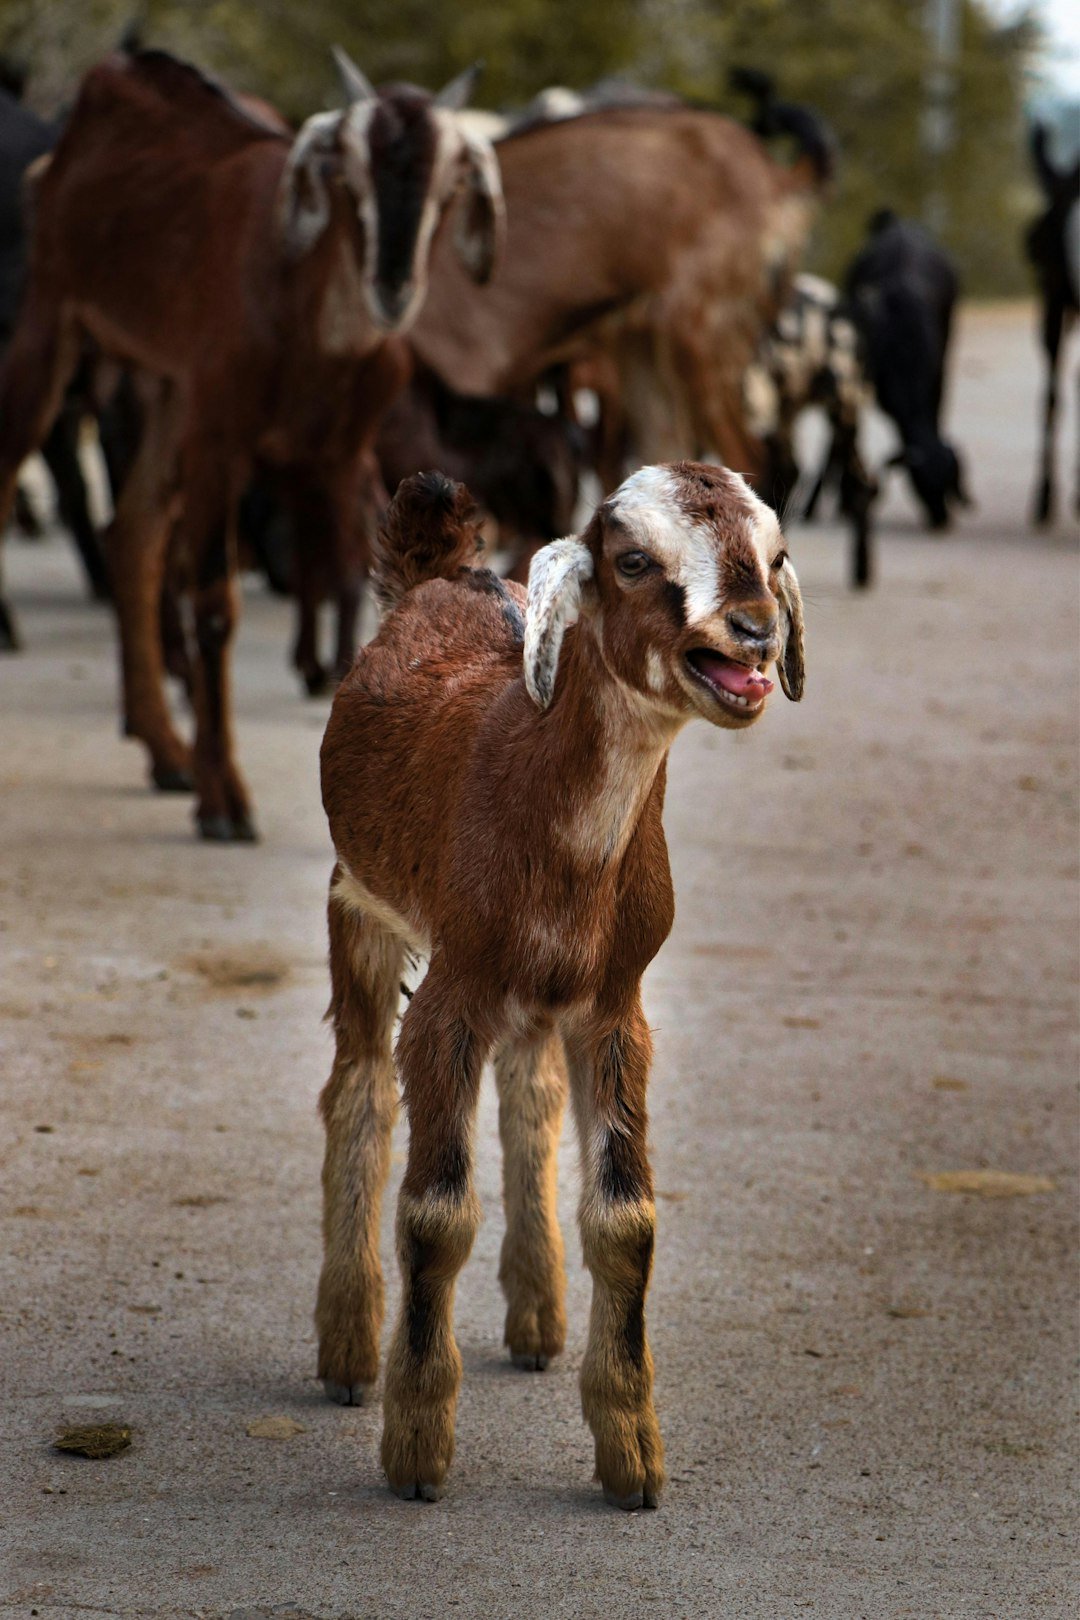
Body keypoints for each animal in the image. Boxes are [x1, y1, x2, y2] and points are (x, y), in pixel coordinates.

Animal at [0, 46, 502, 839]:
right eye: (345, 175)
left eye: (450, 183)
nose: (391, 287)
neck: (306, 319)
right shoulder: (219, 443)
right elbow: (213, 608)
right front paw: (224, 799)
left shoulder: (341, 456)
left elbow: (361, 582)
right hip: (55, 321)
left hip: (166, 389)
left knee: (133, 534)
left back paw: (165, 750)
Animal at [316, 461, 805, 1507]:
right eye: (633, 561)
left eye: (775, 554)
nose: (754, 629)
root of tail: (443, 569)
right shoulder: (453, 989)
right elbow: (435, 1211)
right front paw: (417, 1447)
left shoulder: (617, 1005)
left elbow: (627, 1219)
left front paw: (632, 1457)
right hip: (359, 904)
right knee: (360, 1089)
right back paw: (346, 1349)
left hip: (541, 996)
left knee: (530, 1088)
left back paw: (538, 1319)